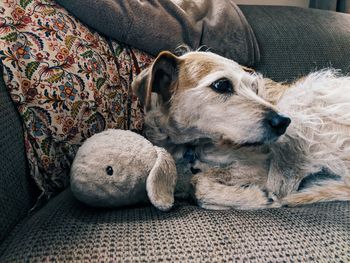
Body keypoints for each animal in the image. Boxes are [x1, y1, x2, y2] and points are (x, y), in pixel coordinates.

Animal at [131, 49, 350, 210]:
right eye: (221, 84)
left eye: (254, 89)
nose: (283, 122)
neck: (192, 145)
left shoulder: (256, 165)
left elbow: (199, 182)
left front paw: (254, 197)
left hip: (301, 104)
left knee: (285, 183)